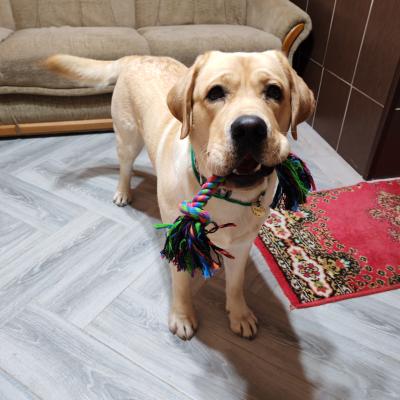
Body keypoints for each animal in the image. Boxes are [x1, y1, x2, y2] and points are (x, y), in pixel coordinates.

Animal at [45, 50, 314, 340]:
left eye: (274, 91)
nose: (250, 128)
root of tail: (136, 56)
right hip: (128, 138)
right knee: (125, 167)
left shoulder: (243, 244)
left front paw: (239, 314)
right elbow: (181, 281)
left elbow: (236, 283)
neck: (224, 194)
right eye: (215, 93)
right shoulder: (178, 237)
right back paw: (123, 192)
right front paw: (183, 316)